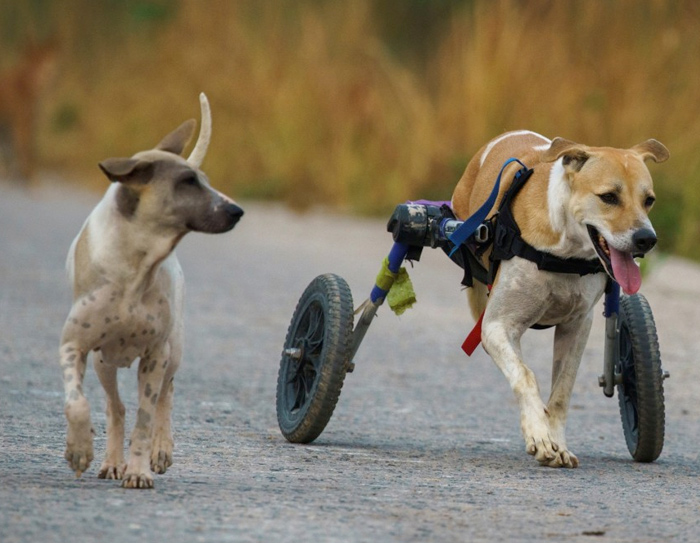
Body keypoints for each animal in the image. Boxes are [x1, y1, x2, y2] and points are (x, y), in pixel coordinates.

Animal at [58, 93, 243, 488]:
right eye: (188, 181)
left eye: (203, 180)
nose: (237, 210)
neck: (136, 265)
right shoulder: (73, 346)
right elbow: (76, 403)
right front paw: (79, 450)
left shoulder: (156, 354)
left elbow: (145, 419)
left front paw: (140, 469)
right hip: (104, 362)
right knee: (115, 407)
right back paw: (112, 461)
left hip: (174, 350)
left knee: (164, 398)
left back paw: (159, 450)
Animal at [454, 131, 668, 468]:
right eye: (609, 197)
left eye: (649, 200)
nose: (646, 239)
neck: (565, 253)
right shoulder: (497, 326)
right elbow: (525, 375)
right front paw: (540, 436)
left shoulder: (577, 326)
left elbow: (562, 391)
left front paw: (557, 443)